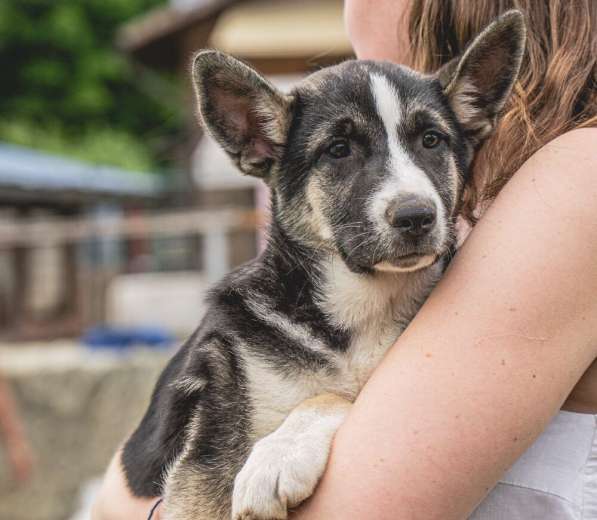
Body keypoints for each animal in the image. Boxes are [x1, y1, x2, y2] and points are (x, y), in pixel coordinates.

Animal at [121, 12, 520, 520]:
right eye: (338, 150)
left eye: (432, 141)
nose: (416, 216)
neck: (359, 304)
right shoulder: (203, 458)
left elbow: (333, 394)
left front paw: (277, 456)